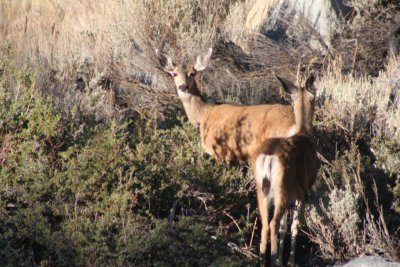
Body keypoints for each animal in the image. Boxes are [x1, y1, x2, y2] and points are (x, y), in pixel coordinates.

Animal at [250, 74, 318, 266]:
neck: (303, 133)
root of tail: (268, 157)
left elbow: (283, 226)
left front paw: (282, 257)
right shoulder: (302, 191)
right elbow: (293, 226)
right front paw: (290, 260)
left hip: (262, 189)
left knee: (265, 223)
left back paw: (263, 260)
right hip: (282, 188)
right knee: (273, 223)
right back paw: (275, 261)